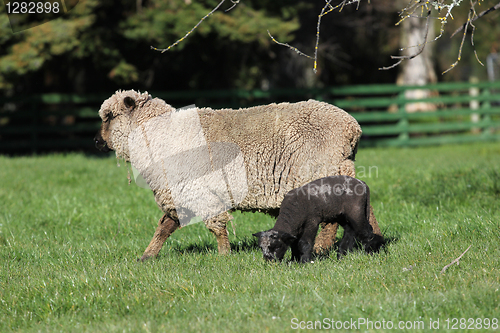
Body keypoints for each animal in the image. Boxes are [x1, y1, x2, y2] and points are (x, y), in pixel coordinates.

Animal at [94, 89, 382, 260]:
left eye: (109, 116)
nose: (96, 142)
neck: (160, 134)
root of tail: (351, 128)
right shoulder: (180, 192)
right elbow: (165, 226)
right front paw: (147, 256)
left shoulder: (195, 190)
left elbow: (214, 225)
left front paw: (223, 256)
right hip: (341, 171)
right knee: (364, 210)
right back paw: (374, 243)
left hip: (322, 172)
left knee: (333, 219)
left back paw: (323, 248)